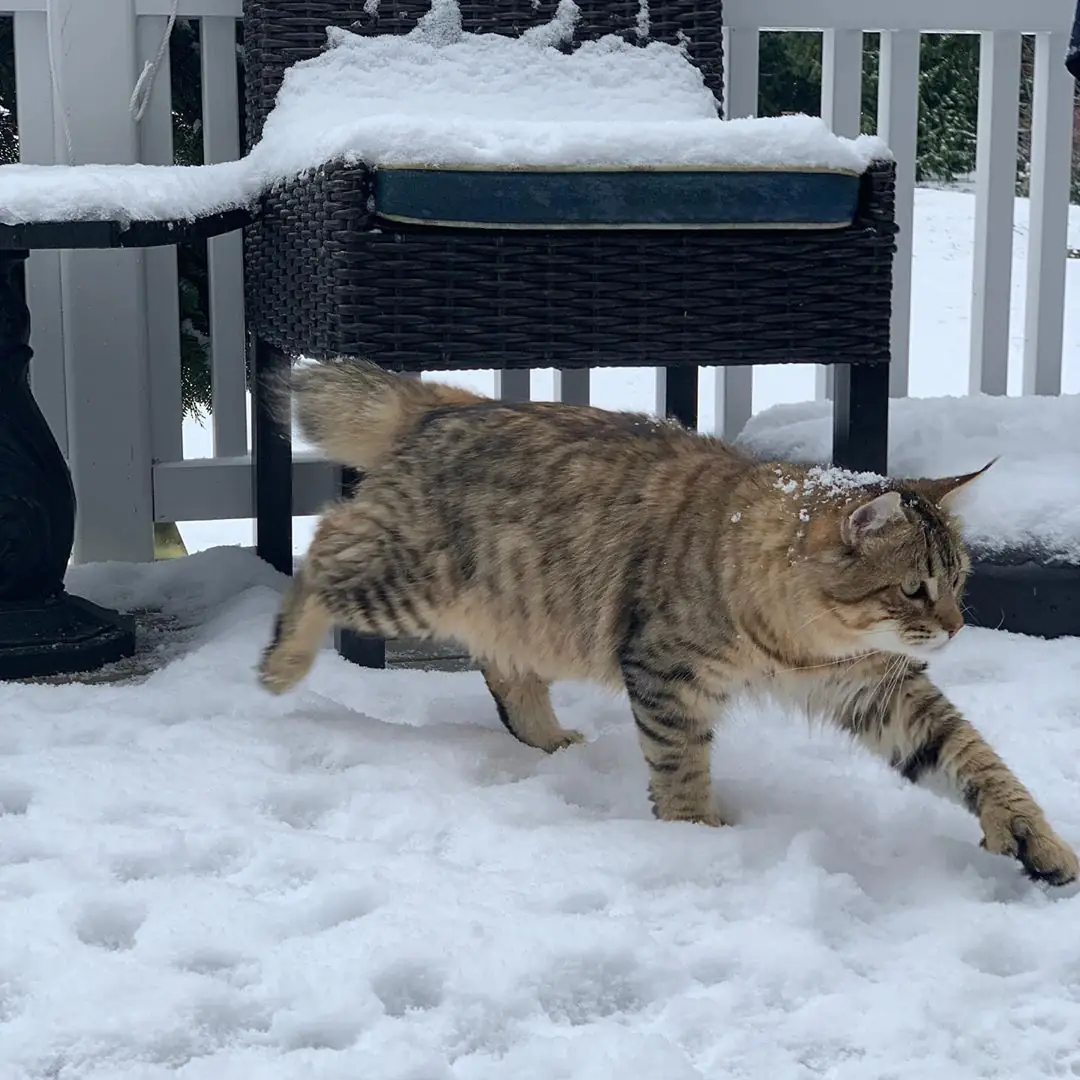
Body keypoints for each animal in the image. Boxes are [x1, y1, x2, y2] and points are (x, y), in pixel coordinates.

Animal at [259, 357, 1078, 887]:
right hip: (413, 582)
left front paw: (1035, 839)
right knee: (322, 546)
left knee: (501, 667)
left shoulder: (879, 689)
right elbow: (680, 763)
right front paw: (697, 842)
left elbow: (975, 758)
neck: (802, 644)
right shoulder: (667, 672)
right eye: (912, 589)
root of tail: (448, 405)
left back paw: (548, 741)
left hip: (518, 604)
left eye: (959, 582)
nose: (955, 629)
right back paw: (280, 666)